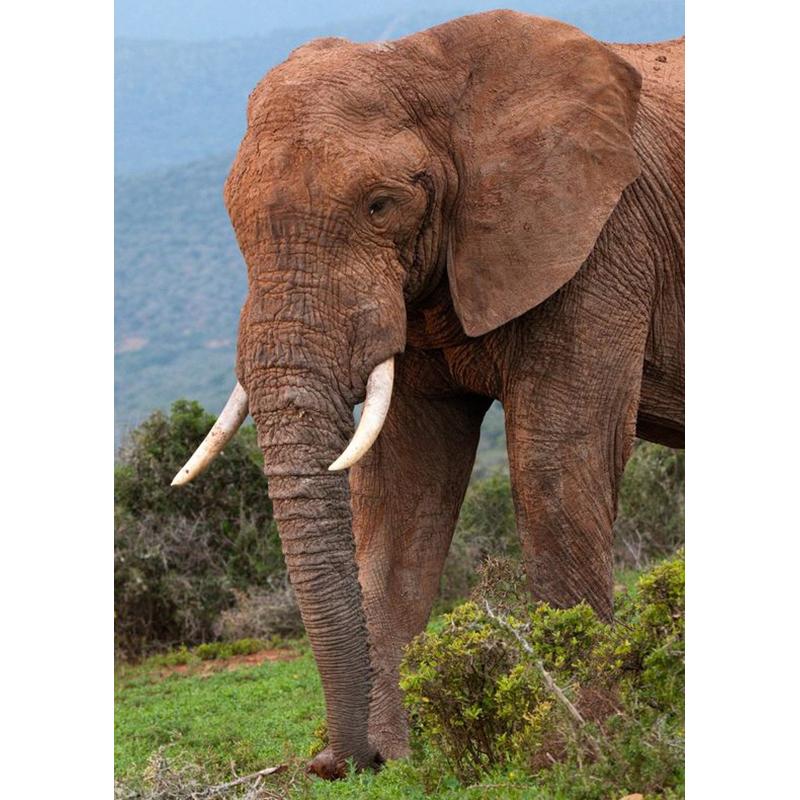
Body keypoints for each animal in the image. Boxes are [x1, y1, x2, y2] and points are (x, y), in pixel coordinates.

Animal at [172, 10, 684, 779]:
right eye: (231, 219)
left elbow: (557, 463)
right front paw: (390, 757)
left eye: (381, 205)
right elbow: (401, 486)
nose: (329, 763)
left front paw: (574, 754)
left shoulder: (602, 241)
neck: (426, 63)